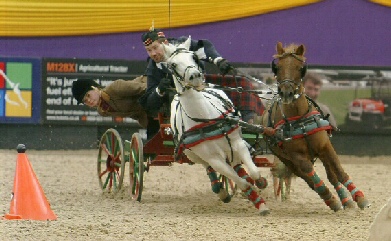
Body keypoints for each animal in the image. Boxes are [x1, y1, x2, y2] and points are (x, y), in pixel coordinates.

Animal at [161, 36, 272, 216]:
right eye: (173, 65)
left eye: (194, 57)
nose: (195, 76)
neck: (205, 118)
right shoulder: (213, 158)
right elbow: (240, 182)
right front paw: (253, 197)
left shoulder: (237, 143)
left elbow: (254, 172)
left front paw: (260, 182)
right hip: (193, 155)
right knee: (211, 169)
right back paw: (222, 191)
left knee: (237, 165)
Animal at [260, 42, 370, 211]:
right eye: (277, 67)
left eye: (300, 68)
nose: (286, 93)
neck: (299, 118)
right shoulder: (297, 156)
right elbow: (311, 176)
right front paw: (331, 199)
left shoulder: (325, 146)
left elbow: (338, 172)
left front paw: (359, 198)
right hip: (287, 160)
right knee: (309, 179)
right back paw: (331, 200)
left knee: (331, 176)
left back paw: (346, 201)